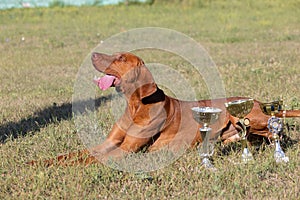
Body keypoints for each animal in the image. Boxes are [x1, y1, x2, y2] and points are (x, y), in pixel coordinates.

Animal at [28, 51, 300, 166]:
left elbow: (90, 159)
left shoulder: (126, 150)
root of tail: (259, 102)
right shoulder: (109, 143)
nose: (93, 53)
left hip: (246, 117)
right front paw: (38, 163)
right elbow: (74, 154)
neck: (136, 106)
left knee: (276, 132)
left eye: (120, 58)